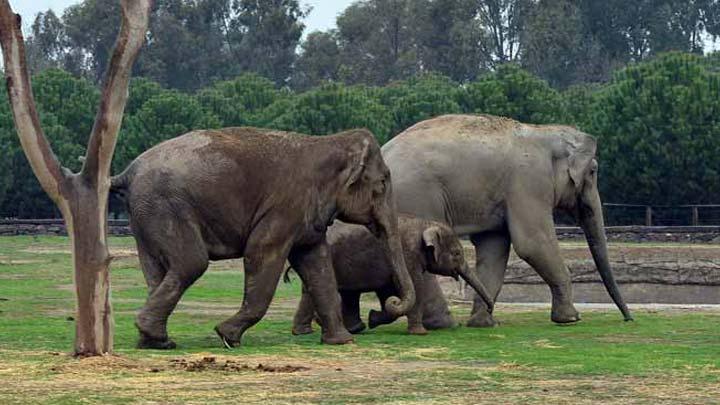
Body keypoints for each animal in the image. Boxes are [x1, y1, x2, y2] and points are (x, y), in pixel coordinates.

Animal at [112, 126, 416, 348]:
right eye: (383, 184)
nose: (387, 305)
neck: (329, 142)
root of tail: (129, 171)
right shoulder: (285, 207)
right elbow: (260, 252)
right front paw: (227, 336)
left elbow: (317, 264)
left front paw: (341, 342)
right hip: (166, 207)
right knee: (192, 263)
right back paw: (156, 336)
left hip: (145, 216)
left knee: (156, 270)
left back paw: (155, 341)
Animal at [292, 215, 496, 334]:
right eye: (457, 254)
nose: (489, 310)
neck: (424, 224)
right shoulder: (408, 254)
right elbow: (414, 287)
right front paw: (419, 333)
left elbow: (388, 291)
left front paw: (374, 318)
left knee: (346, 293)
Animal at [382, 113, 632, 328]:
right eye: (593, 171)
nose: (629, 318)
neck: (545, 131)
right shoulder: (529, 182)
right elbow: (532, 243)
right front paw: (571, 319)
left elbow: (495, 247)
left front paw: (483, 323)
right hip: (416, 194)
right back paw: (443, 324)